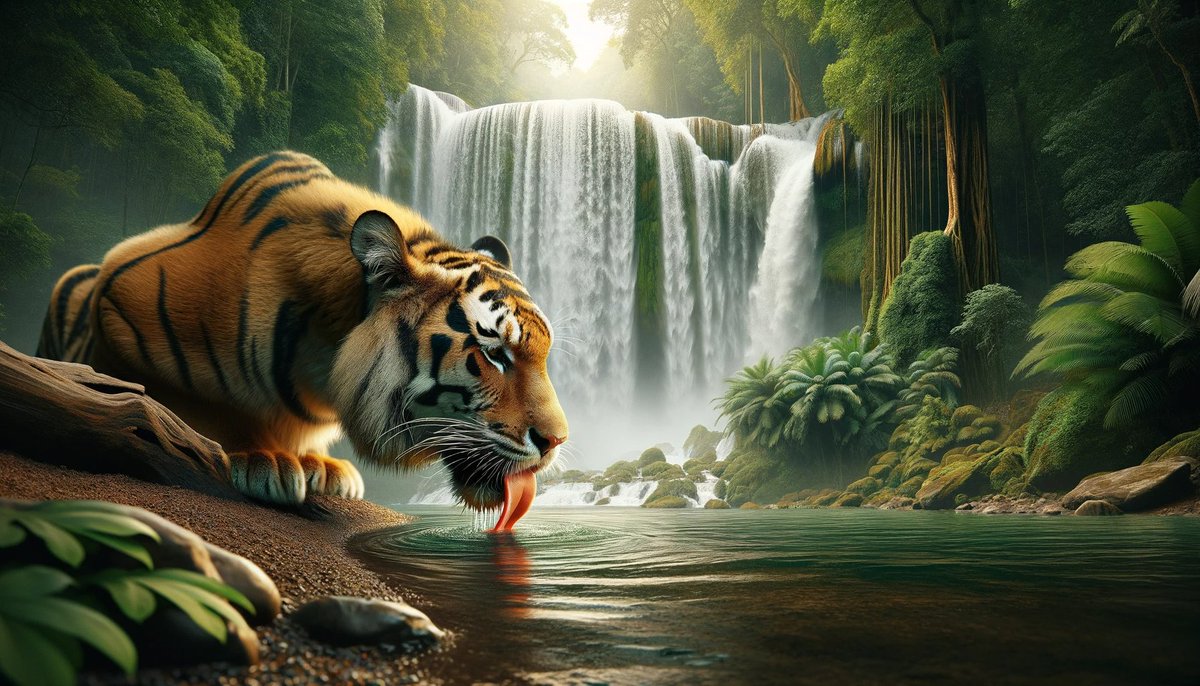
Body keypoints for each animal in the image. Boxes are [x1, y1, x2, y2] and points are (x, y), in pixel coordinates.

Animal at [38, 151, 568, 525]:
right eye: (494, 355)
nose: (557, 441)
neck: (321, 356)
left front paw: (323, 466)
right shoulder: (118, 306)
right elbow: (189, 404)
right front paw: (266, 458)